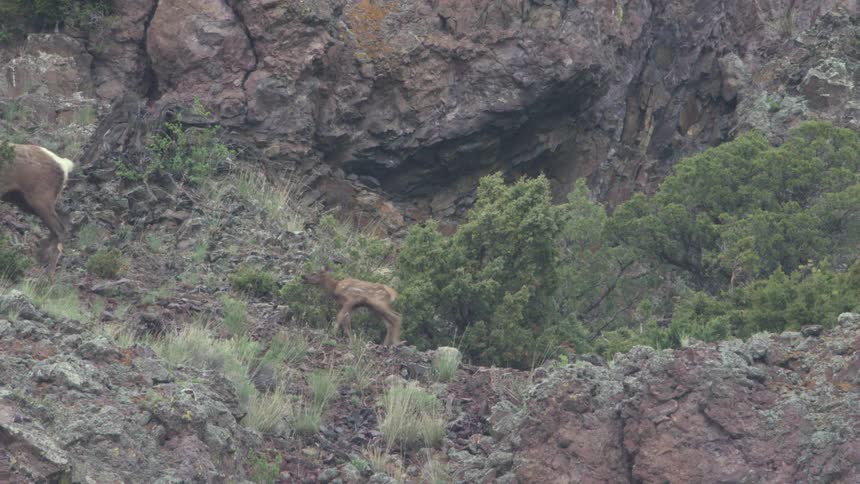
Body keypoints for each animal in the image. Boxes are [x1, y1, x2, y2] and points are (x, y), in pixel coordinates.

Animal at [1, 143, 74, 274]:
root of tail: (64, 166)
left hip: (39, 200)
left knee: (60, 229)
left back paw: (48, 273)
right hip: (24, 201)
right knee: (63, 219)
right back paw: (42, 256)